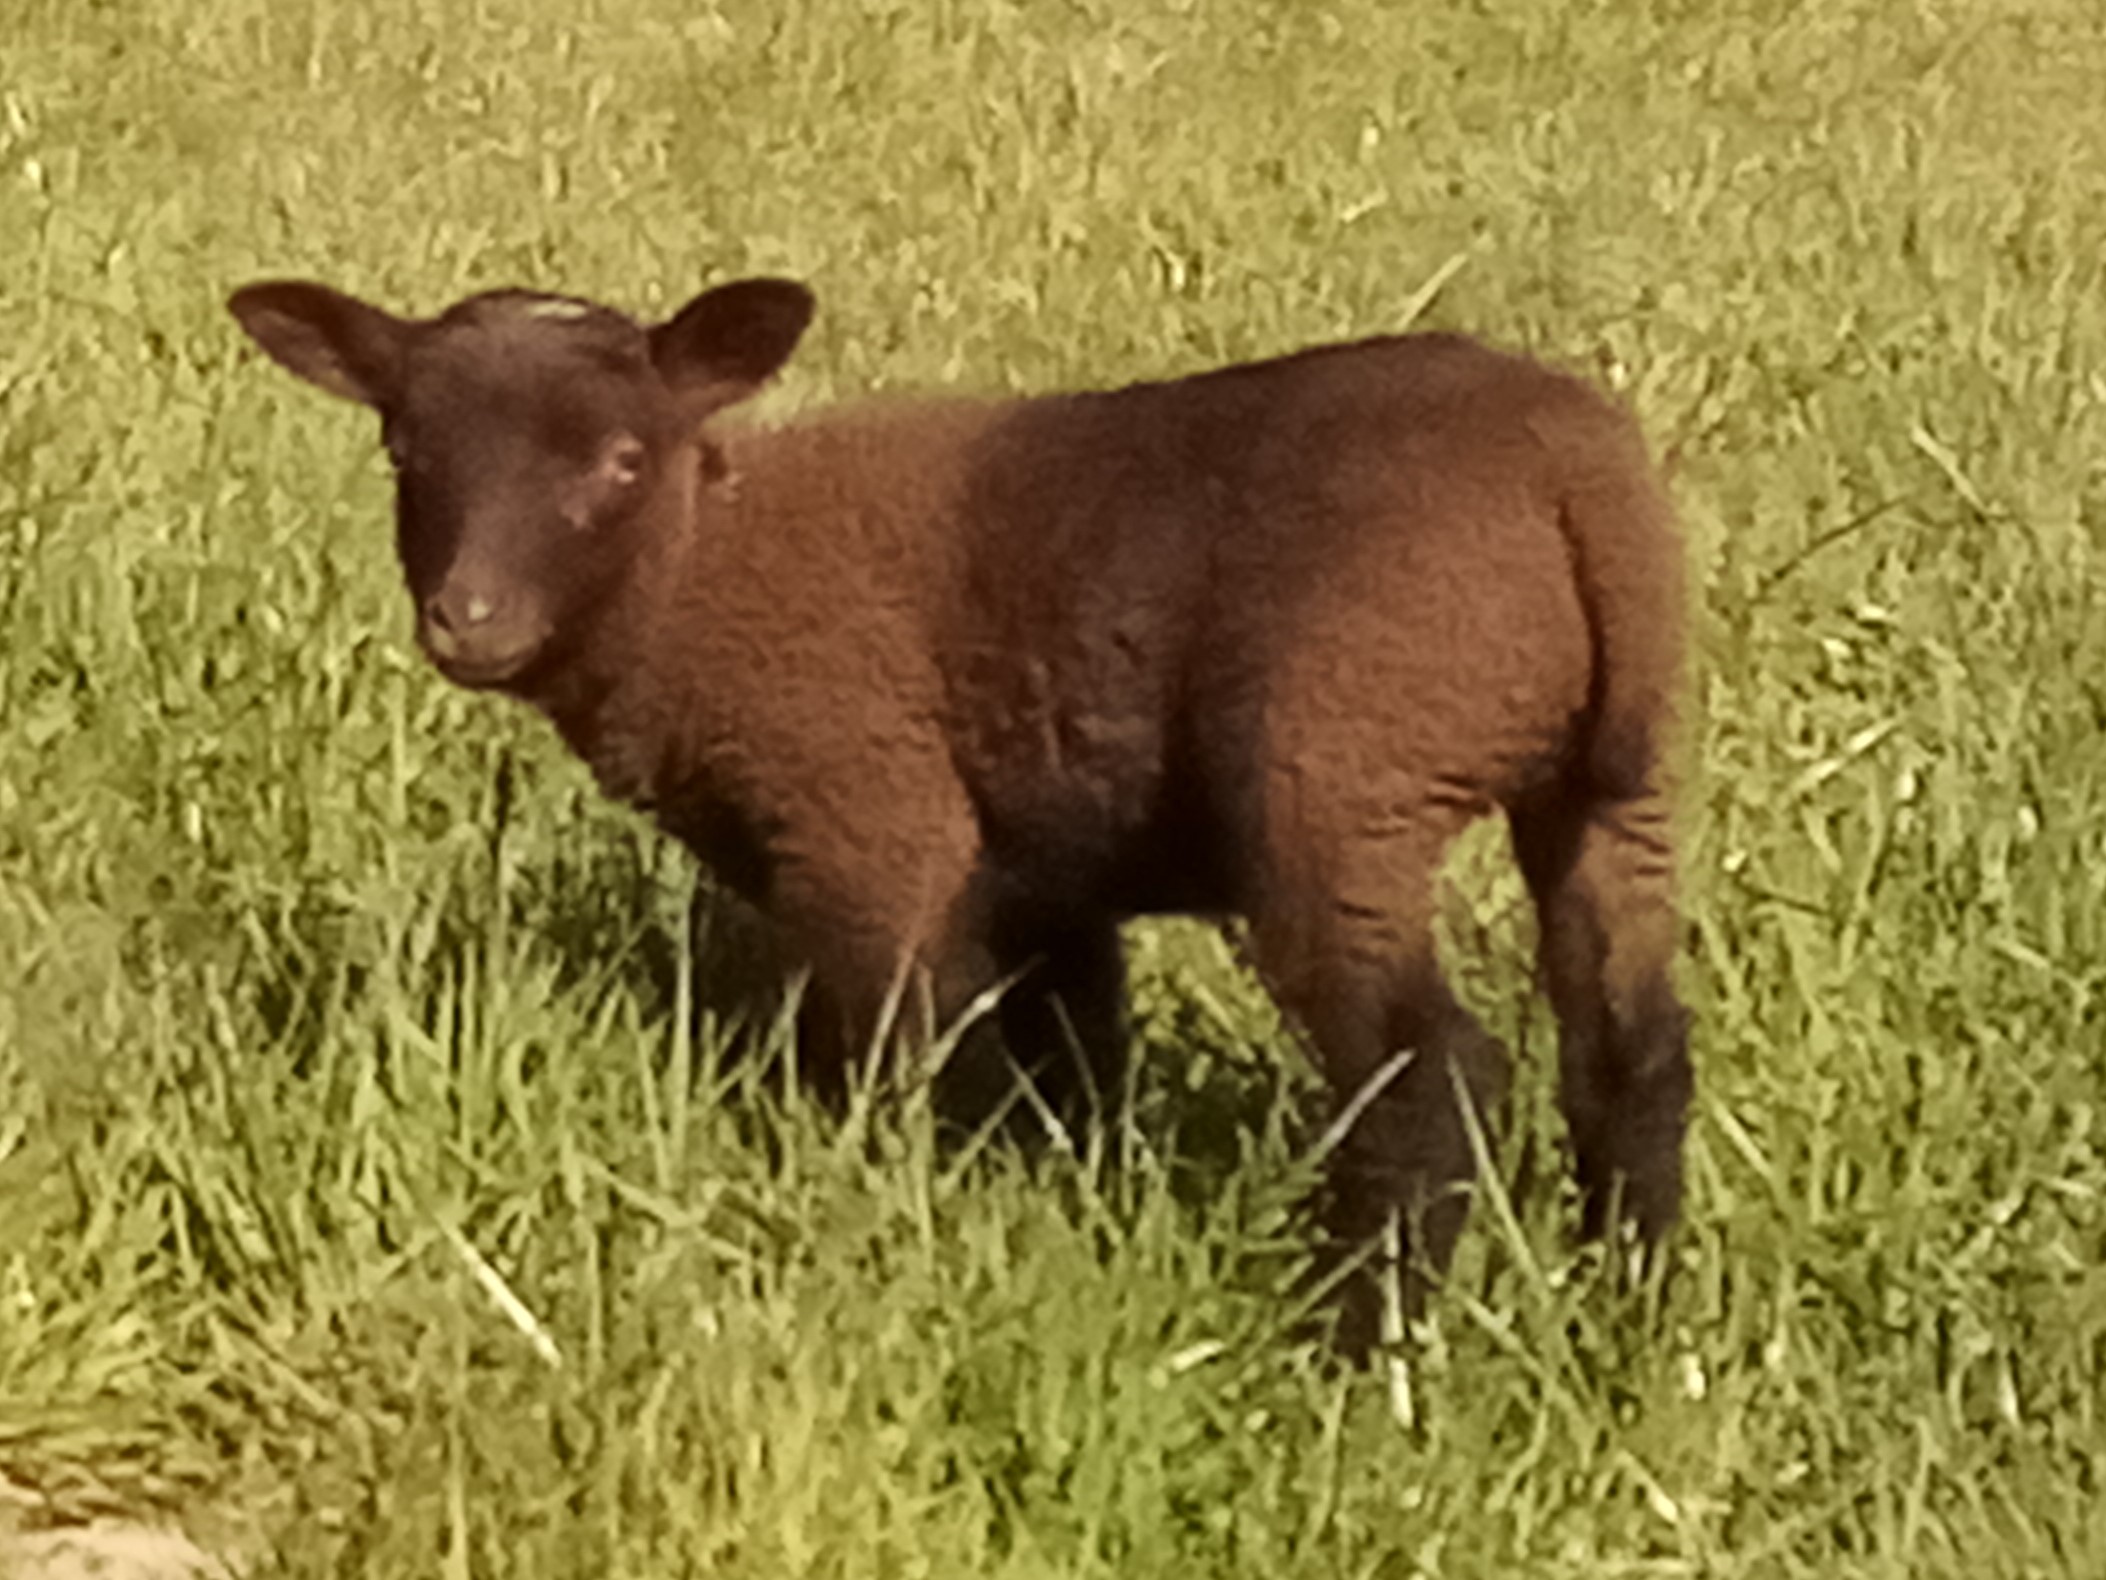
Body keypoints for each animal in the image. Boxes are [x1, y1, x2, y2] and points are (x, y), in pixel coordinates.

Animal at [226, 274, 1692, 1354]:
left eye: (620, 458)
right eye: (404, 449)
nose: (467, 622)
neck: (697, 575)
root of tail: (1571, 473)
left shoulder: (870, 826)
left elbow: (894, 1061)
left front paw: (879, 1232)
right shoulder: (1044, 870)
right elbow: (1070, 1067)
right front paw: (1066, 1210)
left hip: (1342, 778)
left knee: (1428, 1074)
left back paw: (1362, 1348)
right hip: (1614, 789)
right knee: (1631, 1048)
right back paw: (1629, 1309)